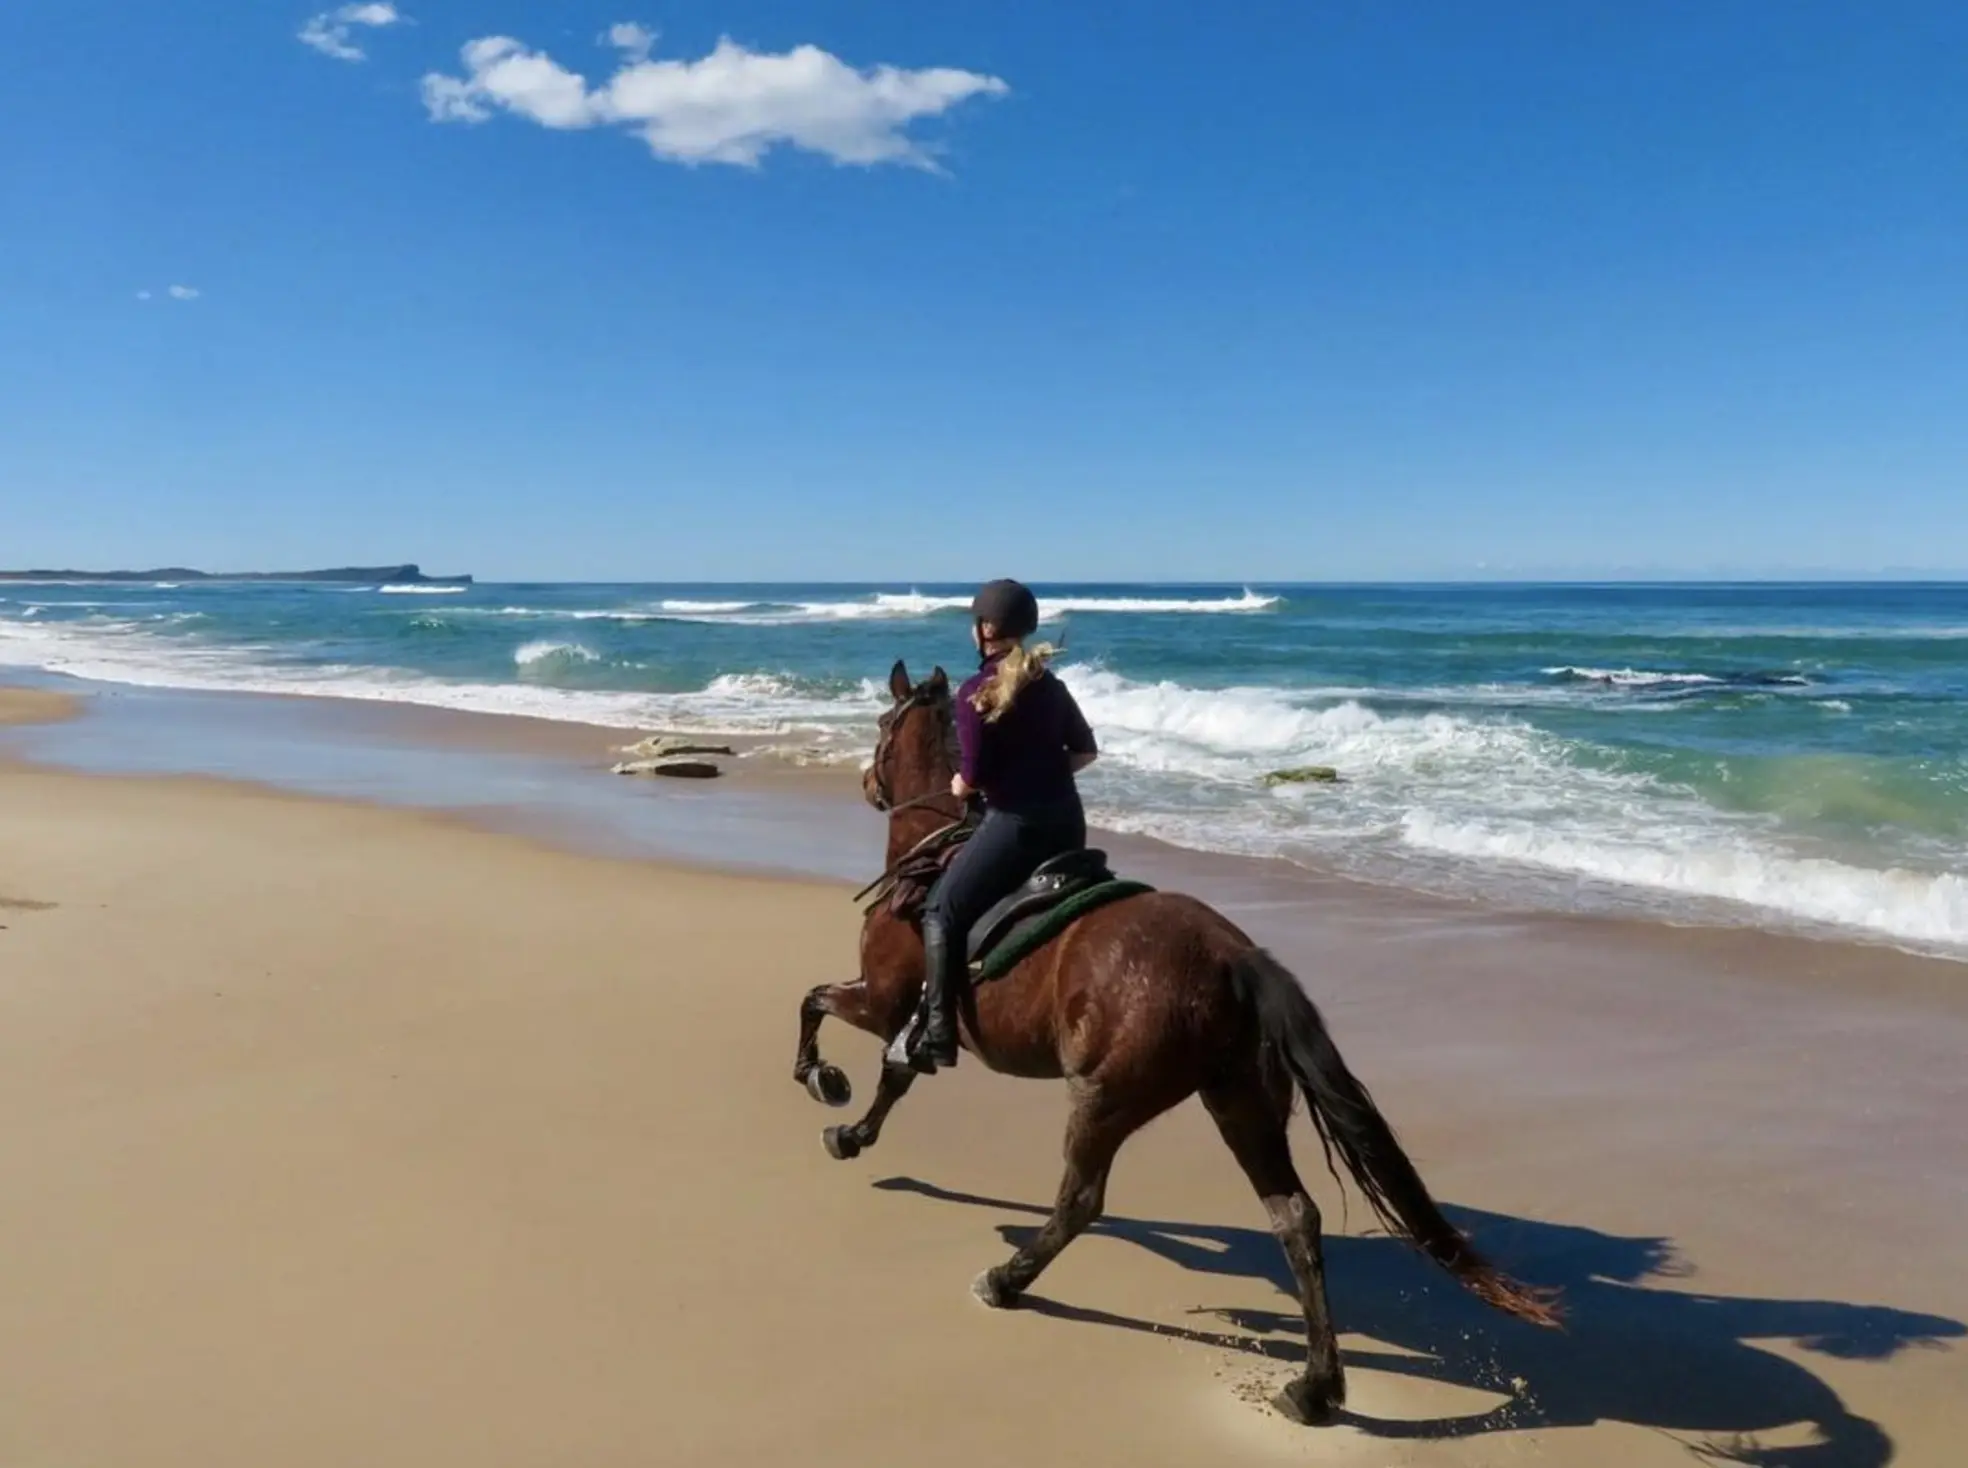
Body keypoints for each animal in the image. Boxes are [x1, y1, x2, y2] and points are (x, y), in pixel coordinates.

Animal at [791, 665, 1558, 1416]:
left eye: (882, 725)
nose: (867, 784)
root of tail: (1234, 956)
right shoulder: (908, 1019)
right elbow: (893, 1079)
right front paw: (851, 1135)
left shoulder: (884, 1000)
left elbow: (817, 1003)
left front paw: (823, 1081)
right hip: (1240, 1100)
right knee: (1294, 1218)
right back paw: (1314, 1386)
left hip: (1105, 1098)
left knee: (1081, 1201)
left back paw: (1007, 1281)